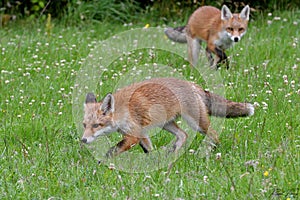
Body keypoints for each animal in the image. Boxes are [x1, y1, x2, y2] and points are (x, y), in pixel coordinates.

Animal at [80, 77, 253, 159]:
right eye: (84, 125)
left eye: (96, 125)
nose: (83, 140)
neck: (121, 111)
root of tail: (192, 84)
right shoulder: (141, 133)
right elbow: (148, 150)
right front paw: (153, 162)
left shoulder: (133, 135)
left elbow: (112, 151)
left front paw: (101, 163)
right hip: (166, 123)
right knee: (183, 135)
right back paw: (174, 153)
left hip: (196, 122)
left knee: (214, 135)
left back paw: (212, 152)